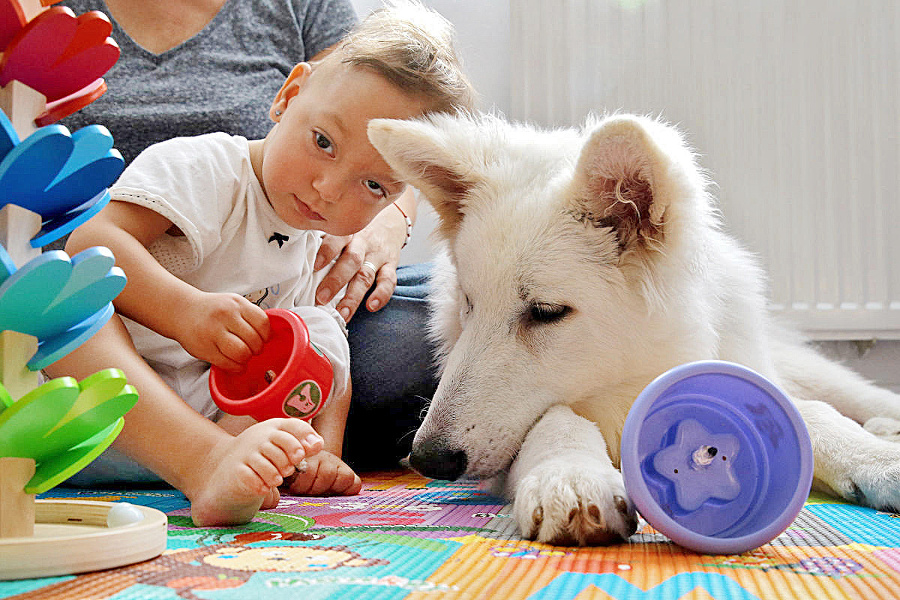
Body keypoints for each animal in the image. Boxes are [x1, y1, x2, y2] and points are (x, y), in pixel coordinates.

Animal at [368, 113, 900, 548]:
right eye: (469, 304)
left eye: (545, 311)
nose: (426, 459)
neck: (628, 384)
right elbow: (554, 419)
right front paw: (572, 475)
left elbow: (812, 414)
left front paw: (878, 460)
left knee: (853, 397)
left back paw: (884, 428)